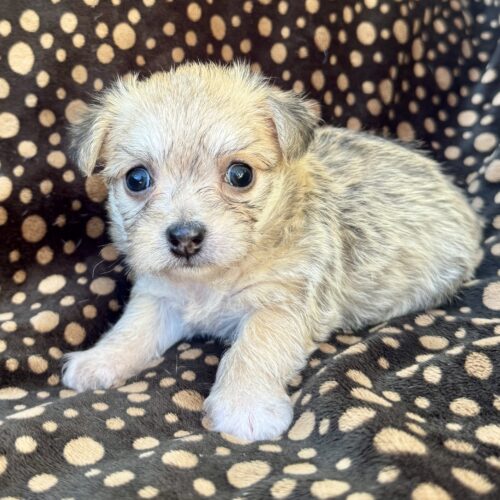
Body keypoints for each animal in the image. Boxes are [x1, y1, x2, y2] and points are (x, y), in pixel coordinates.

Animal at [62, 62, 482, 441]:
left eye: (240, 175)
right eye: (137, 179)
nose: (184, 237)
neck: (212, 279)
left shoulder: (282, 304)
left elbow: (252, 350)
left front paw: (245, 404)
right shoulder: (158, 297)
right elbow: (131, 330)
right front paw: (98, 360)